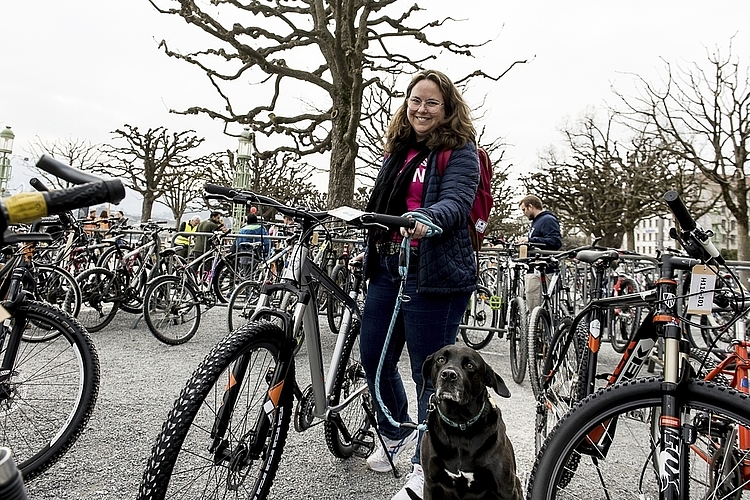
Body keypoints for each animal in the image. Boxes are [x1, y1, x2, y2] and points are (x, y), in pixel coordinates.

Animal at [412, 344, 524, 500]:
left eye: (470, 365)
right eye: (441, 359)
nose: (448, 375)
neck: (459, 426)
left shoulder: (506, 490)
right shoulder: (431, 484)